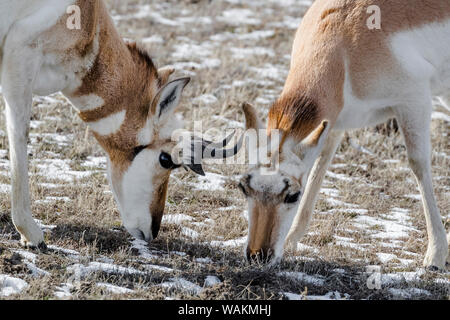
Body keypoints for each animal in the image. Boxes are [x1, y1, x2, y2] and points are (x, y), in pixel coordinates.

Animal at [0, 0, 237, 249]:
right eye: (166, 160)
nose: (153, 231)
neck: (90, 17)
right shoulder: (20, 57)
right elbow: (19, 132)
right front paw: (31, 234)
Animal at [237, 0, 448, 270]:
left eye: (292, 195)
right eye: (244, 187)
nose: (257, 255)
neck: (343, 51)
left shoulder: (414, 103)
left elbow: (418, 165)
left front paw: (435, 255)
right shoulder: (334, 126)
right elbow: (319, 168)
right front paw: (293, 240)